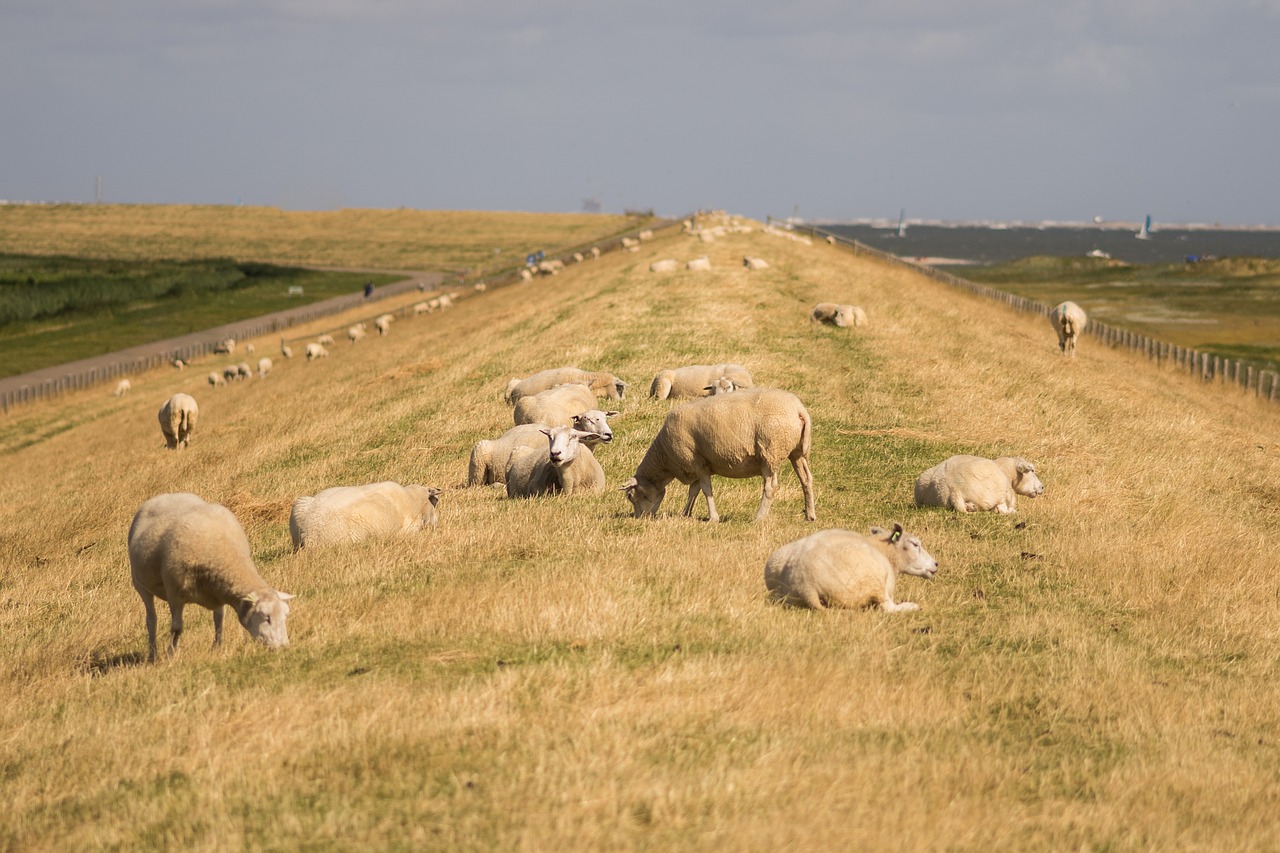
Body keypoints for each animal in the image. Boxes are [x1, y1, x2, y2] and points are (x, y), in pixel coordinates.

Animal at [622, 386, 819, 522]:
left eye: (630, 496)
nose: (640, 518)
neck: (665, 458)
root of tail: (799, 409)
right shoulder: (698, 465)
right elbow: (693, 491)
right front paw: (686, 514)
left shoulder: (697, 463)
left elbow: (705, 490)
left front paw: (713, 518)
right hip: (797, 452)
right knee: (806, 479)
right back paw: (810, 515)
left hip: (770, 451)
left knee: (771, 486)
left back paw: (759, 517)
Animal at [762, 517, 936, 612]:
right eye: (915, 544)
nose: (936, 564)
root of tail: (805, 582)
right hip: (872, 581)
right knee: (887, 608)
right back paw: (912, 607)